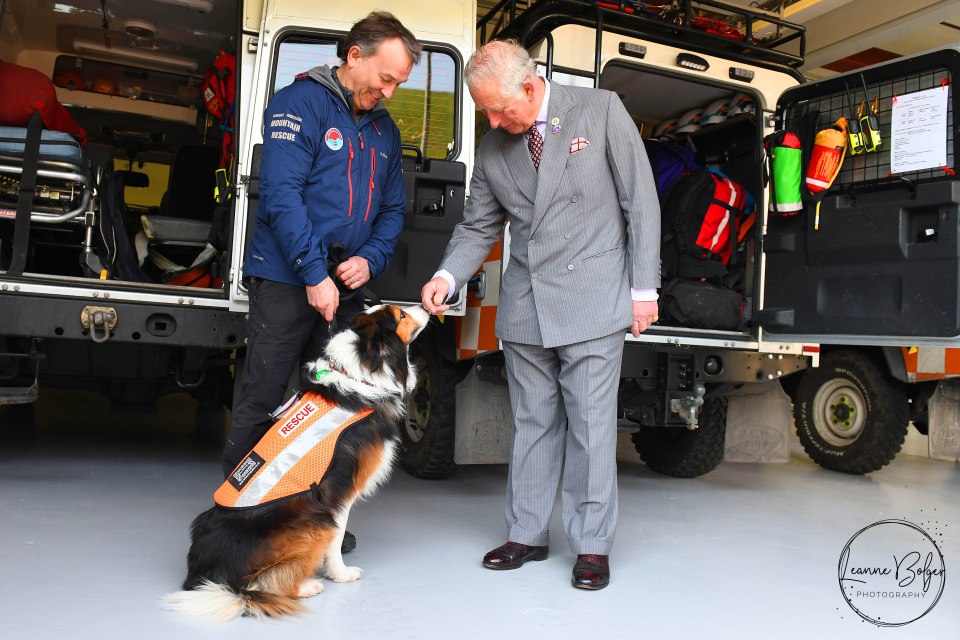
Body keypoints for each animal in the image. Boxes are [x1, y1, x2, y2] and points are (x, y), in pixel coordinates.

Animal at [164, 302, 428, 624]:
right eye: (401, 315)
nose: (427, 305)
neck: (362, 371)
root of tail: (210, 579)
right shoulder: (339, 494)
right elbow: (336, 538)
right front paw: (340, 574)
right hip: (314, 519)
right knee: (264, 584)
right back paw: (306, 586)